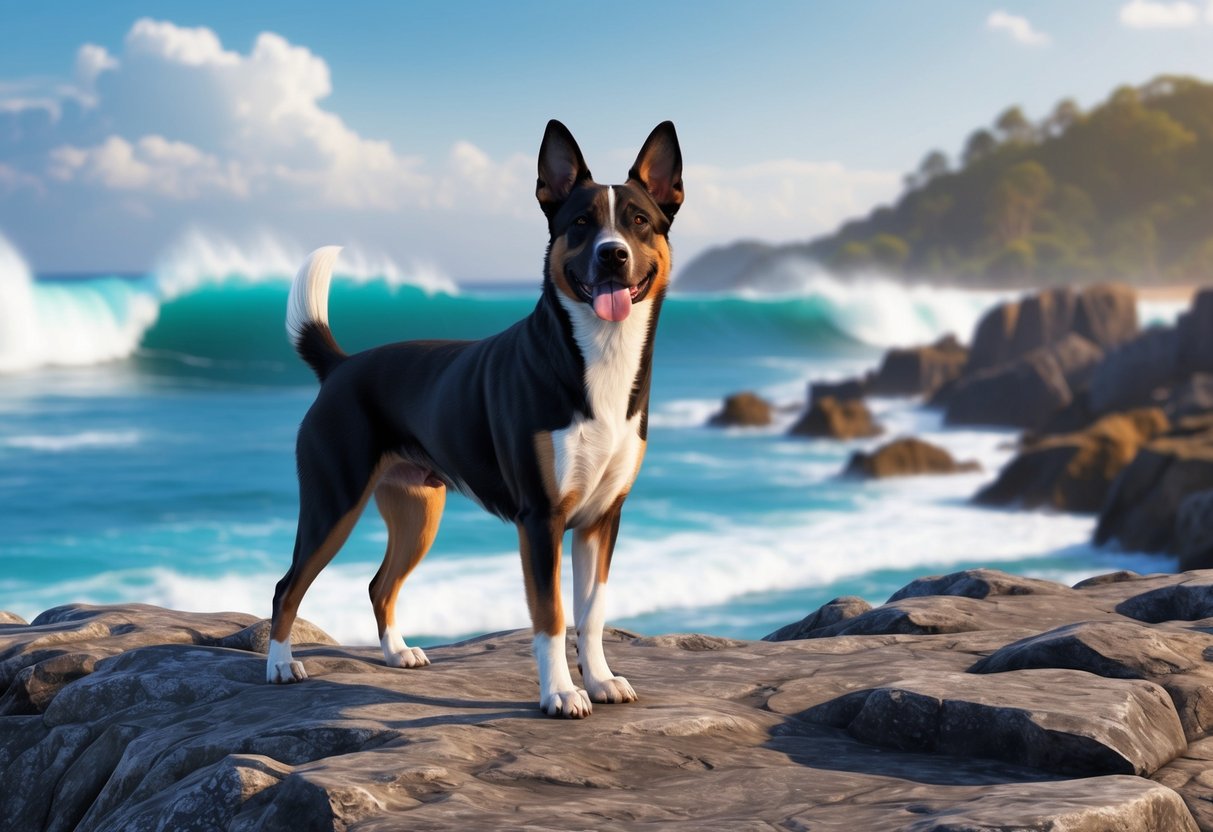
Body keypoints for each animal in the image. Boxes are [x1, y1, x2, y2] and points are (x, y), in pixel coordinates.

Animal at [265, 120, 684, 717]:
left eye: (639, 221)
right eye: (581, 224)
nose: (612, 256)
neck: (597, 354)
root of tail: (342, 366)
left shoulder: (602, 518)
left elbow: (592, 613)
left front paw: (601, 680)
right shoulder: (541, 518)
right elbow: (552, 617)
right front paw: (561, 693)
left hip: (418, 512)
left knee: (379, 585)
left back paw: (397, 653)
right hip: (332, 501)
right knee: (289, 585)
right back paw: (280, 665)